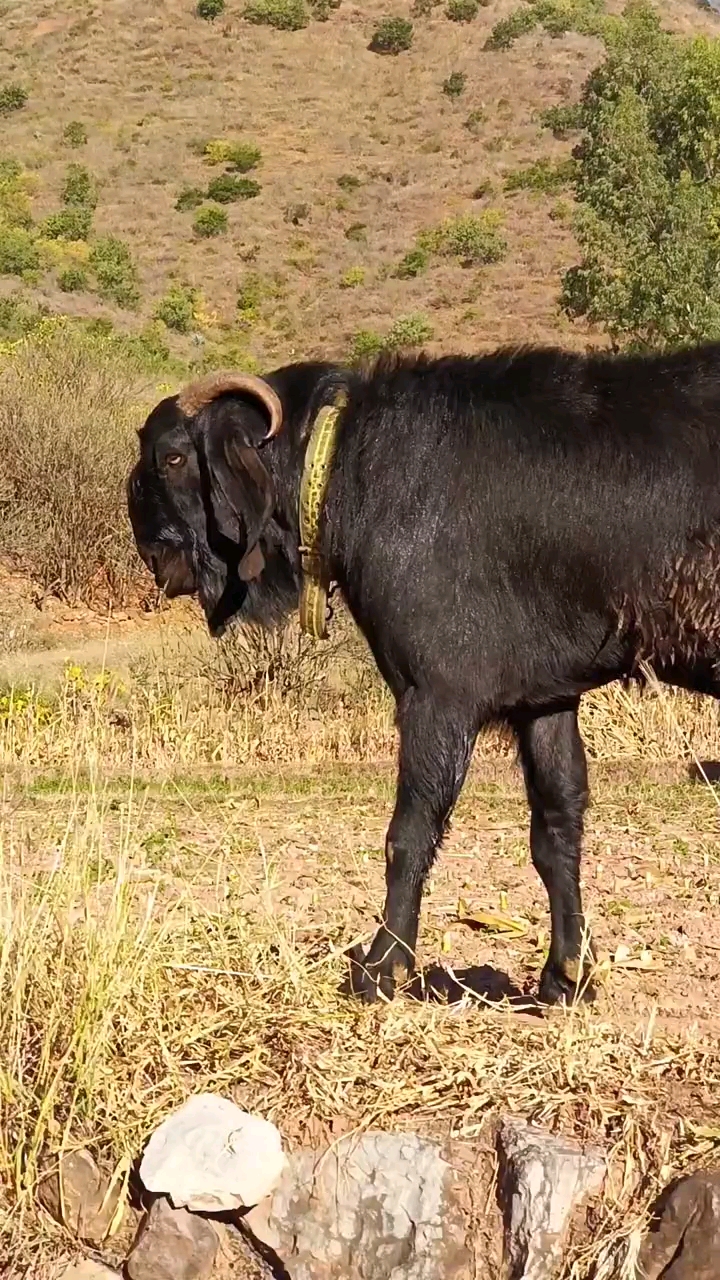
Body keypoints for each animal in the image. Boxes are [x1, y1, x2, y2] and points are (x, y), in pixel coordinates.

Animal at [128, 345, 720, 1003]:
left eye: (172, 456)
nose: (148, 545)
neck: (355, 462)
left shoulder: (437, 697)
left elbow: (409, 835)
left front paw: (382, 968)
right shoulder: (546, 699)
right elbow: (556, 829)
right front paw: (565, 976)